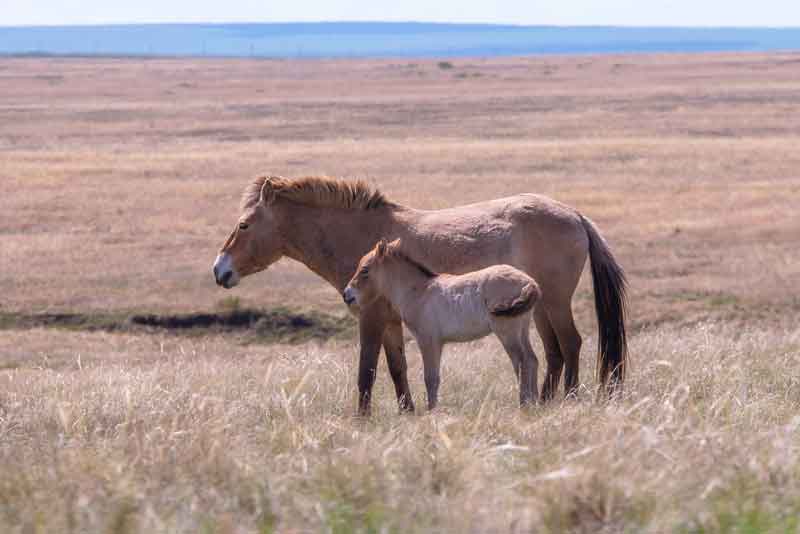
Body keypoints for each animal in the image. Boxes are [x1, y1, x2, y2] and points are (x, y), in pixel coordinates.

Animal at [340, 239, 540, 410]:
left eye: (365, 270)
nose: (347, 295)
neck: (419, 292)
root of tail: (529, 282)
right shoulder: (438, 343)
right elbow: (435, 378)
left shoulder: (428, 341)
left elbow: (429, 378)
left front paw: (431, 411)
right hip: (521, 329)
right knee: (532, 359)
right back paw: (535, 403)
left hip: (507, 331)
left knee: (521, 361)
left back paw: (524, 404)